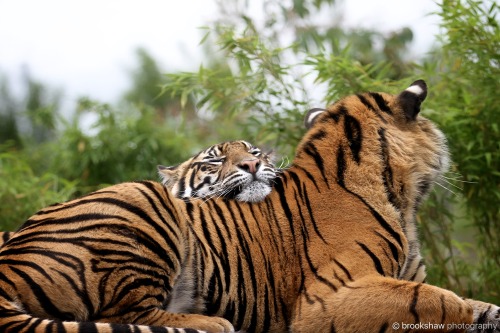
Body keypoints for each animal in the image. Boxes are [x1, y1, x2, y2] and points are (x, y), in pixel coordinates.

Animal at [0, 80, 500, 332]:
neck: (401, 198)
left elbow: (470, 301)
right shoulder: (329, 296)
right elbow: (432, 299)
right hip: (142, 202)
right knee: (125, 316)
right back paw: (213, 323)